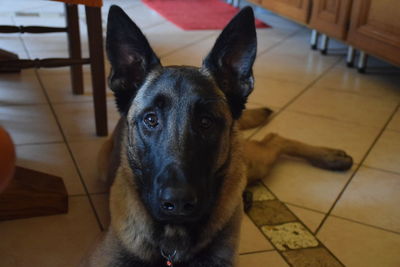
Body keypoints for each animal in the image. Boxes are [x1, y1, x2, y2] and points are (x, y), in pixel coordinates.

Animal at [85, 4, 354, 267]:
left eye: (206, 122)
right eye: (150, 119)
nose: (178, 202)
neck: (174, 243)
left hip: (250, 163)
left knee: (275, 139)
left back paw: (331, 157)